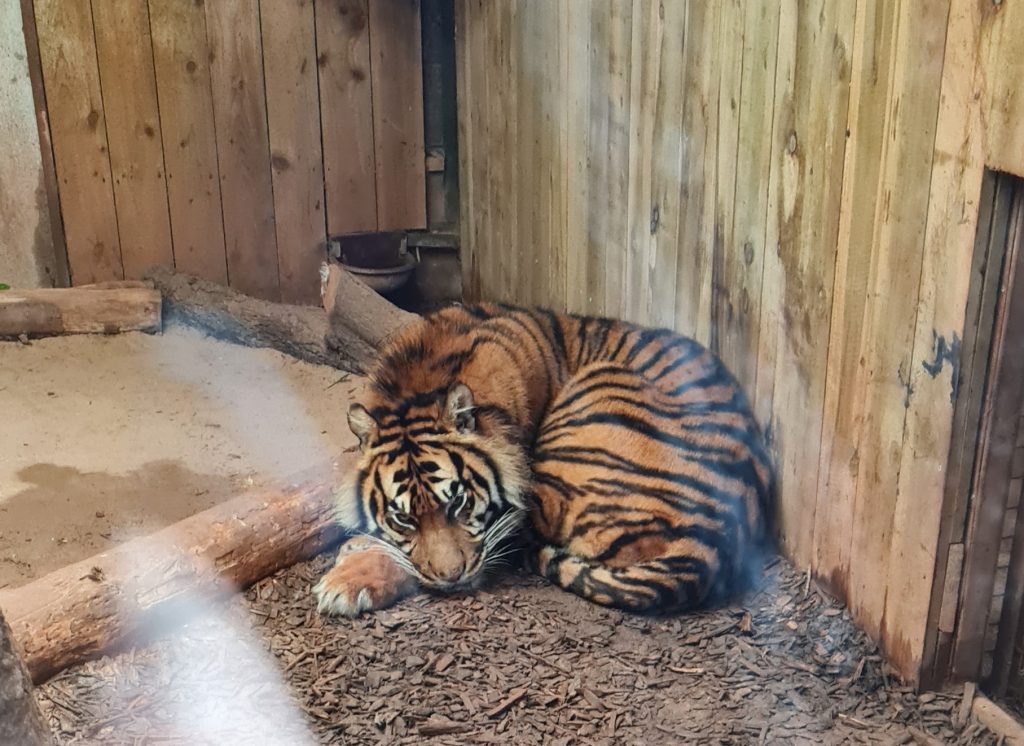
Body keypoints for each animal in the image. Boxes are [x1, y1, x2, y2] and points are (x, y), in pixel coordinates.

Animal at [313, 302, 774, 618]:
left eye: (459, 503)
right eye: (404, 518)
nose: (452, 578)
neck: (417, 383)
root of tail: (715, 540)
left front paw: (346, 580)